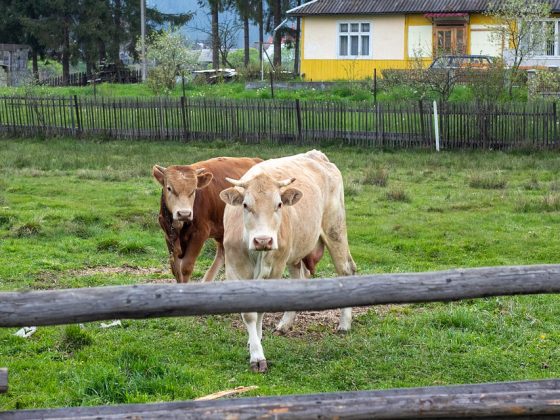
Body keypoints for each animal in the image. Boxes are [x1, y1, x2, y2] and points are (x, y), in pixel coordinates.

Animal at [219, 149, 354, 372]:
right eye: (246, 205)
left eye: (279, 204)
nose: (263, 240)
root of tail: (316, 155)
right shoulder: (234, 270)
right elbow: (249, 314)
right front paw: (254, 344)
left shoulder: (274, 269)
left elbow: (260, 310)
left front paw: (257, 353)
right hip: (296, 253)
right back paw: (285, 324)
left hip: (335, 229)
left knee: (346, 270)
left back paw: (344, 324)